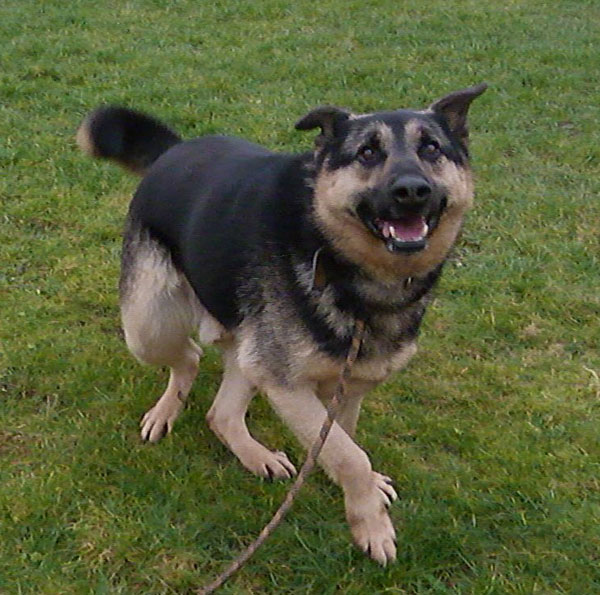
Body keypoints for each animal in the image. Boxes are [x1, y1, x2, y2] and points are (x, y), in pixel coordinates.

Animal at [76, 82, 488, 564]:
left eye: (431, 148)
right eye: (367, 152)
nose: (412, 191)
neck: (341, 262)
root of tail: (174, 150)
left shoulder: (346, 384)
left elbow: (342, 441)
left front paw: (358, 491)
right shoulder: (287, 385)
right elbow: (351, 455)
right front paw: (371, 524)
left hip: (247, 348)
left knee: (221, 412)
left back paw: (256, 456)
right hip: (149, 327)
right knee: (189, 357)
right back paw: (166, 411)